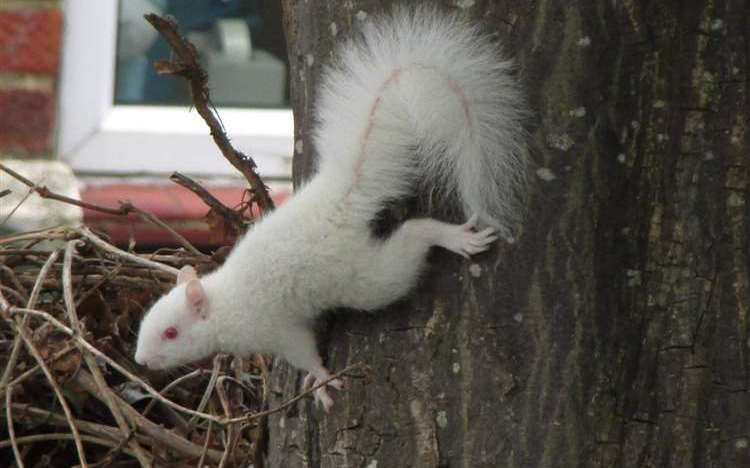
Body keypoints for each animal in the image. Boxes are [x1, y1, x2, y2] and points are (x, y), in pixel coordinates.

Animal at [138, 6, 532, 410]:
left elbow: (303, 352)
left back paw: (454, 238)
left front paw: (321, 381)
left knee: (411, 239)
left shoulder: (274, 328)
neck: (222, 304)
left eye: (171, 333)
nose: (141, 360)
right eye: (146, 322)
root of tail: (340, 198)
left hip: (363, 278)